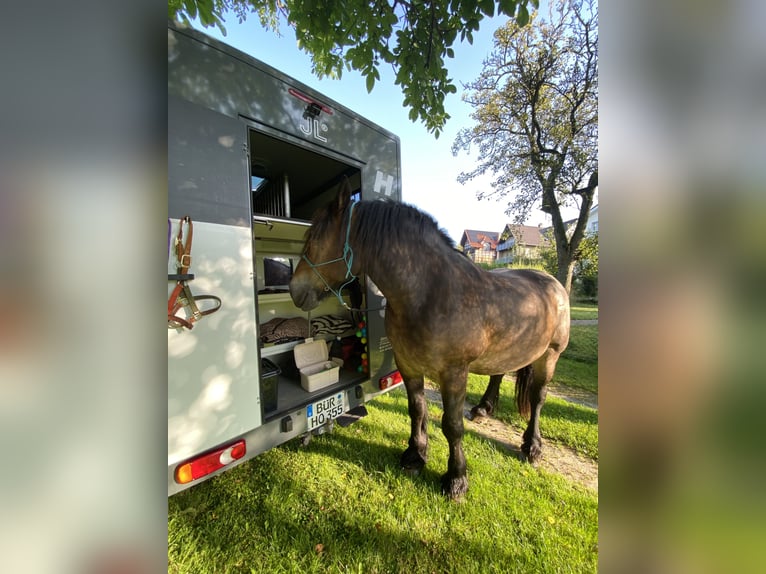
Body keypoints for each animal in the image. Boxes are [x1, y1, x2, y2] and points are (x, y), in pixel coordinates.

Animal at [292, 183, 572, 500]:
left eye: (315, 238)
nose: (293, 289)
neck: (429, 294)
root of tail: (552, 282)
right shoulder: (408, 365)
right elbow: (417, 410)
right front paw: (415, 455)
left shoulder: (454, 373)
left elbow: (452, 425)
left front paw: (456, 479)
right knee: (498, 374)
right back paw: (483, 409)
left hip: (550, 355)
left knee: (538, 398)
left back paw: (533, 446)